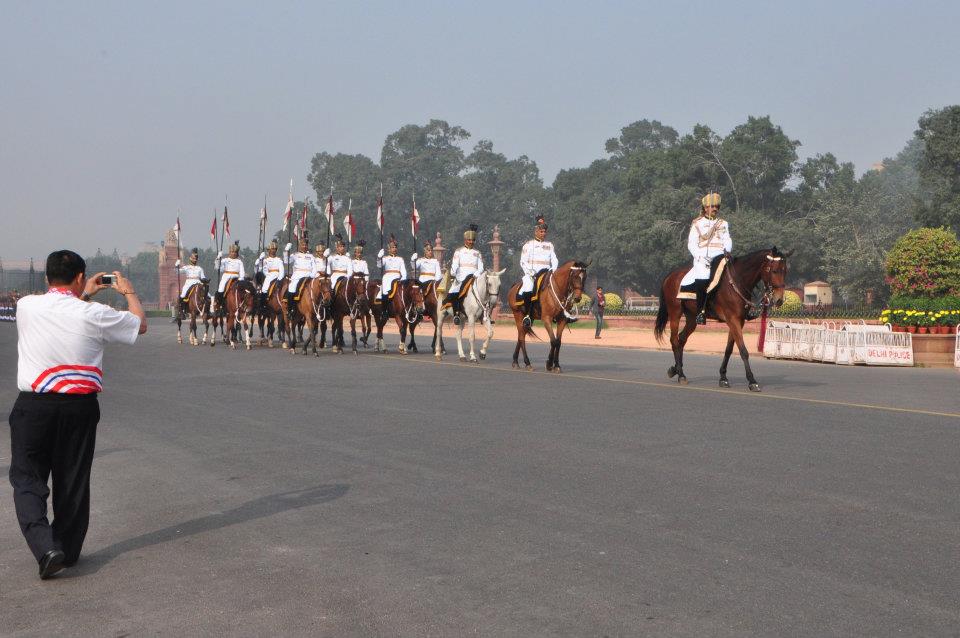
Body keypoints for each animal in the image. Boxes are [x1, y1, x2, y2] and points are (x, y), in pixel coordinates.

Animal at [656, 248, 792, 392]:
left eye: (785, 271)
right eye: (774, 271)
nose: (779, 299)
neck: (738, 282)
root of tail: (671, 276)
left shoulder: (738, 321)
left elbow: (729, 349)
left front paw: (723, 377)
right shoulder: (733, 319)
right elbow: (743, 351)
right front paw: (752, 381)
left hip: (692, 318)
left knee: (681, 339)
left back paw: (676, 369)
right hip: (675, 313)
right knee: (674, 340)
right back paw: (681, 374)